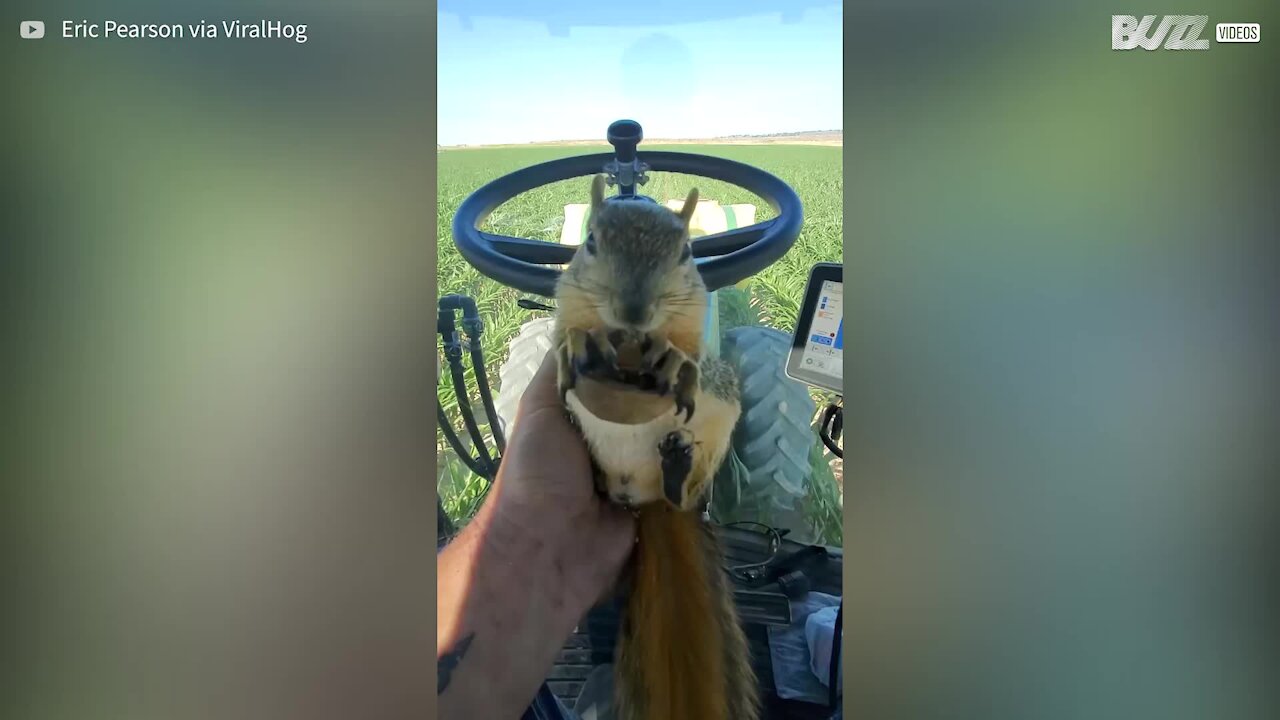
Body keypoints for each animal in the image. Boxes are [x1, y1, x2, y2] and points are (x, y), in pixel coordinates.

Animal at [552, 172, 757, 717]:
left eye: (687, 252)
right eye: (591, 241)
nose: (634, 311)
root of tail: (639, 500)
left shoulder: (697, 337)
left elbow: (691, 360)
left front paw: (670, 357)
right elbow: (563, 339)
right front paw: (578, 346)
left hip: (719, 422)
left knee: (684, 491)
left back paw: (677, 470)